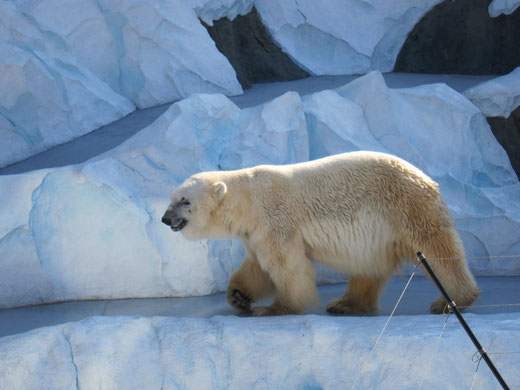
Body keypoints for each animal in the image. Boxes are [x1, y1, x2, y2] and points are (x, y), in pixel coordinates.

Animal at [162, 151, 480, 316]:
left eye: (185, 201)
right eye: (172, 197)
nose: (165, 218)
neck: (248, 200)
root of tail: (425, 177)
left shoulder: (275, 219)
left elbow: (287, 266)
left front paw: (276, 308)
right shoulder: (254, 232)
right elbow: (257, 268)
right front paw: (239, 296)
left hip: (407, 207)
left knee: (438, 250)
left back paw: (451, 300)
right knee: (370, 266)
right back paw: (345, 303)